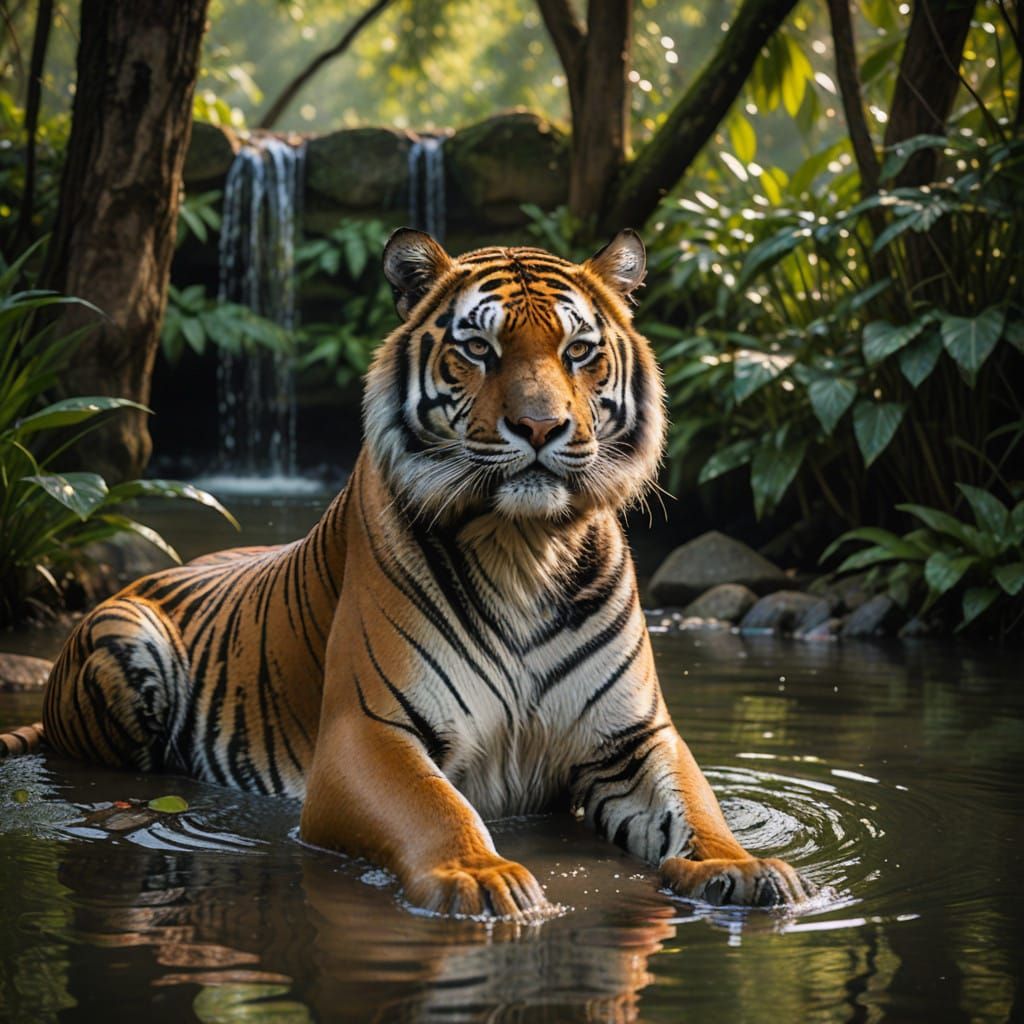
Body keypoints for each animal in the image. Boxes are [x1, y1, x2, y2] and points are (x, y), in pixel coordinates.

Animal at [4, 228, 812, 917]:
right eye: (480, 348)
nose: (541, 427)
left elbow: (696, 808)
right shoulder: (368, 732)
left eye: (580, 350)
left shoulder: (634, 736)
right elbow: (437, 807)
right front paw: (481, 876)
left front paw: (743, 868)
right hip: (126, 640)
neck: (525, 548)